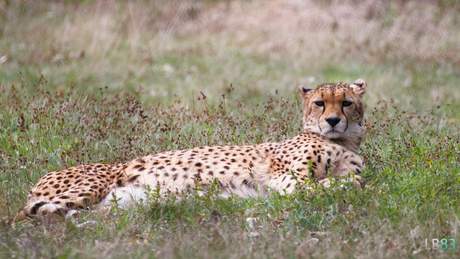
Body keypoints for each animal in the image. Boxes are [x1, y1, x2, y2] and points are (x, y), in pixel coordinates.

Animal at [13, 79, 366, 223]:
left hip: (116, 206)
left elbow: (356, 182)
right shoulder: (288, 181)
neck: (342, 142)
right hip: (90, 187)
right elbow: (331, 185)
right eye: (319, 103)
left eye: (346, 103)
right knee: (19, 216)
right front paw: (337, 185)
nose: (333, 120)